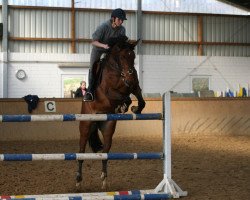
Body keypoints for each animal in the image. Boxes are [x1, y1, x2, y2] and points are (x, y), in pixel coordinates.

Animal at [77, 37, 146, 189]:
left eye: (133, 56)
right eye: (122, 57)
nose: (130, 76)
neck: (118, 71)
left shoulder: (134, 86)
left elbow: (140, 99)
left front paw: (134, 109)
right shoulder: (109, 92)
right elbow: (124, 96)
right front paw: (124, 107)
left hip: (108, 127)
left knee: (105, 152)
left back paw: (104, 179)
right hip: (85, 127)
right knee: (81, 152)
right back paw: (78, 180)